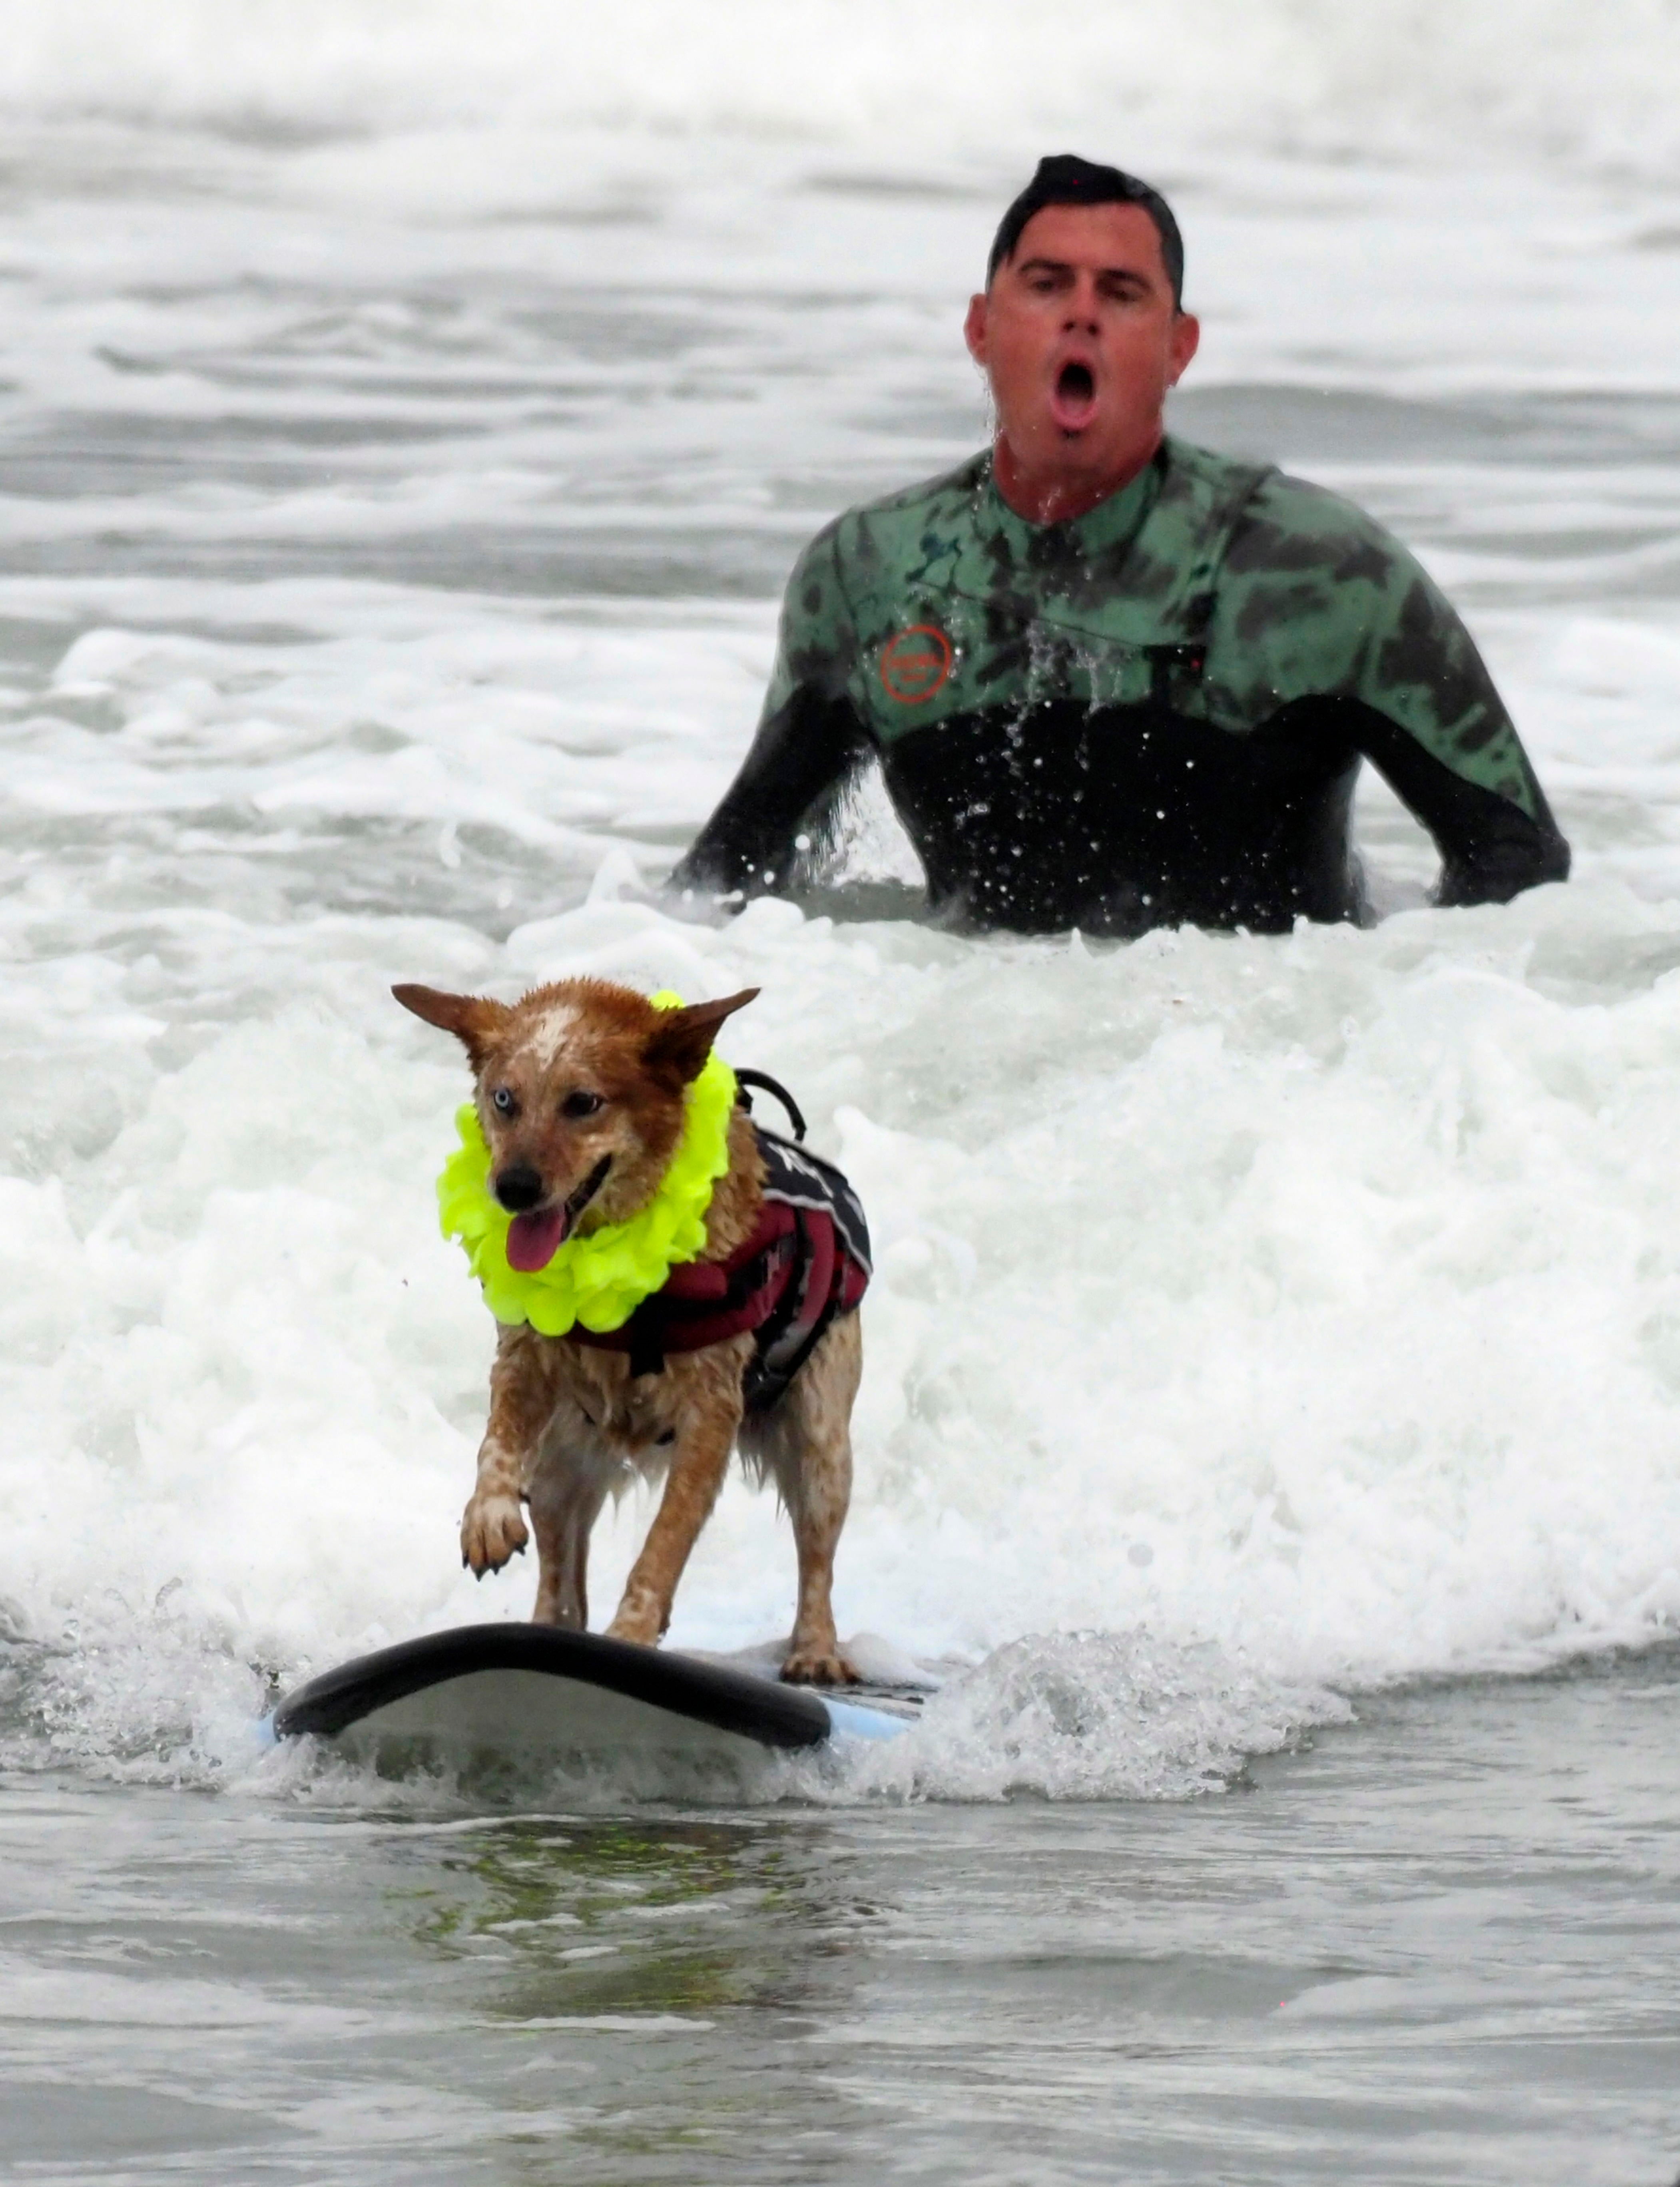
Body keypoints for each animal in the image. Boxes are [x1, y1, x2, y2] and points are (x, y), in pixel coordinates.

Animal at [396, 980, 866, 1688]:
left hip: (820, 1441)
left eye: (583, 1102)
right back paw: (547, 1631)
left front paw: (634, 1633)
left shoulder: (710, 1416)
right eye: (504, 1099)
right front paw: (488, 1515)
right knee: (562, 1571)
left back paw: (815, 1649)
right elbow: (496, 1441)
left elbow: (663, 1545)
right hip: (562, 1458)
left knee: (817, 1552)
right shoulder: (526, 1360)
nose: (512, 1188)